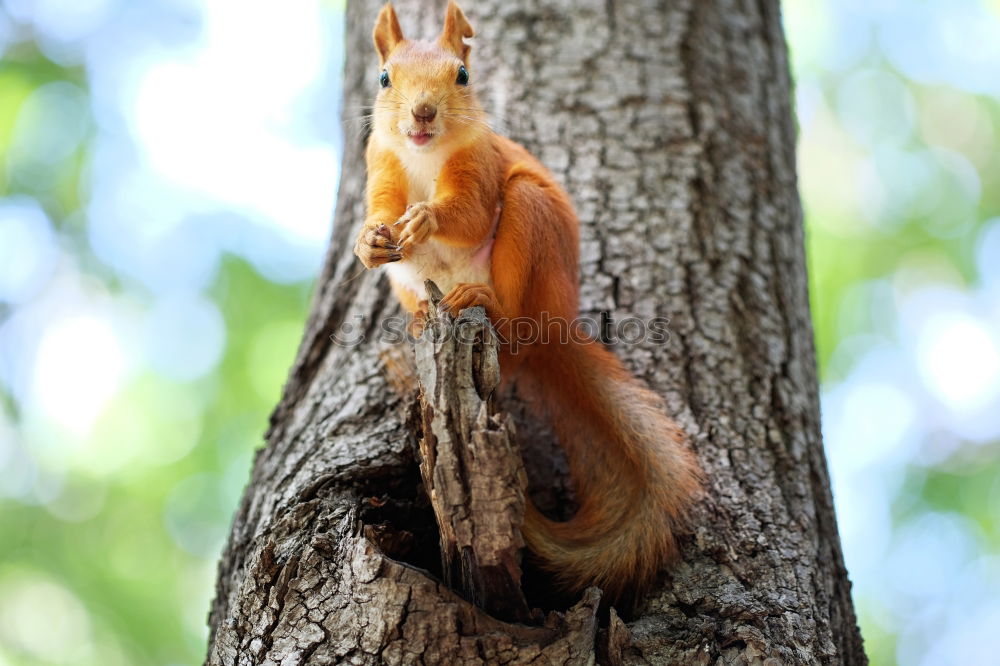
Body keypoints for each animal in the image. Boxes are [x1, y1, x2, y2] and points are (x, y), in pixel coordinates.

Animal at [354, 0, 704, 604]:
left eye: (462, 76)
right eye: (383, 78)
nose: (422, 113)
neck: (424, 157)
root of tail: (554, 328)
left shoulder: (483, 167)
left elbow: (469, 213)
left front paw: (429, 219)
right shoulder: (383, 165)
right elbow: (381, 208)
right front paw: (369, 240)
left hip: (527, 221)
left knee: (512, 317)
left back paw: (484, 302)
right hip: (411, 281)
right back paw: (423, 315)